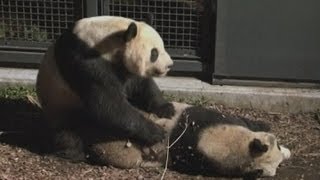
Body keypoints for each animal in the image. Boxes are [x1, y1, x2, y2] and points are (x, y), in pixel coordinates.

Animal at [36, 15, 175, 160]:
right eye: (154, 53)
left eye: (163, 47)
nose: (170, 65)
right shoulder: (84, 61)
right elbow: (108, 105)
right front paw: (157, 132)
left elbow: (142, 84)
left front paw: (167, 108)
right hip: (59, 104)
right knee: (65, 132)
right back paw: (72, 153)